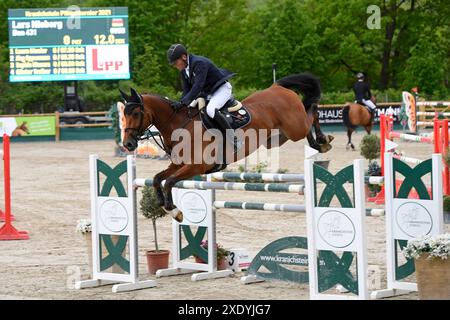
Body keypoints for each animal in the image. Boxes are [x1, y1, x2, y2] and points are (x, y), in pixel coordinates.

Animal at [119, 73, 334, 222]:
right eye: (124, 114)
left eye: (136, 113)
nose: (128, 144)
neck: (179, 124)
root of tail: (277, 87)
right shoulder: (178, 165)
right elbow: (157, 179)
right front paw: (165, 206)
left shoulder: (196, 167)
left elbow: (170, 181)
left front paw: (175, 211)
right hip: (277, 138)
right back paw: (319, 143)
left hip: (295, 127)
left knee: (313, 111)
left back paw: (323, 141)